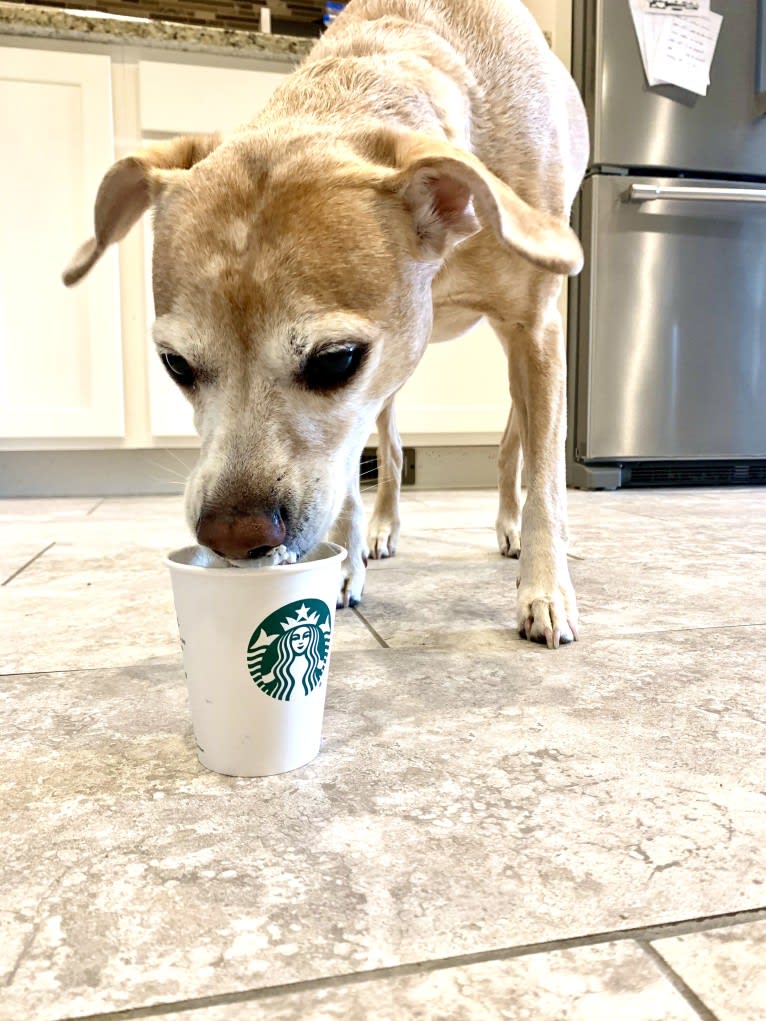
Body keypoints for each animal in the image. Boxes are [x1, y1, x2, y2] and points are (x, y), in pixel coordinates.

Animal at [67, 0, 592, 649]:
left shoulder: (535, 328)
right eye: (176, 365)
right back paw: (382, 526)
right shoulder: (369, 391)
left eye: (336, 359)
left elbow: (546, 480)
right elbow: (346, 473)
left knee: (510, 446)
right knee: (391, 450)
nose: (233, 536)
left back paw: (509, 526)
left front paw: (546, 593)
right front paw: (341, 562)